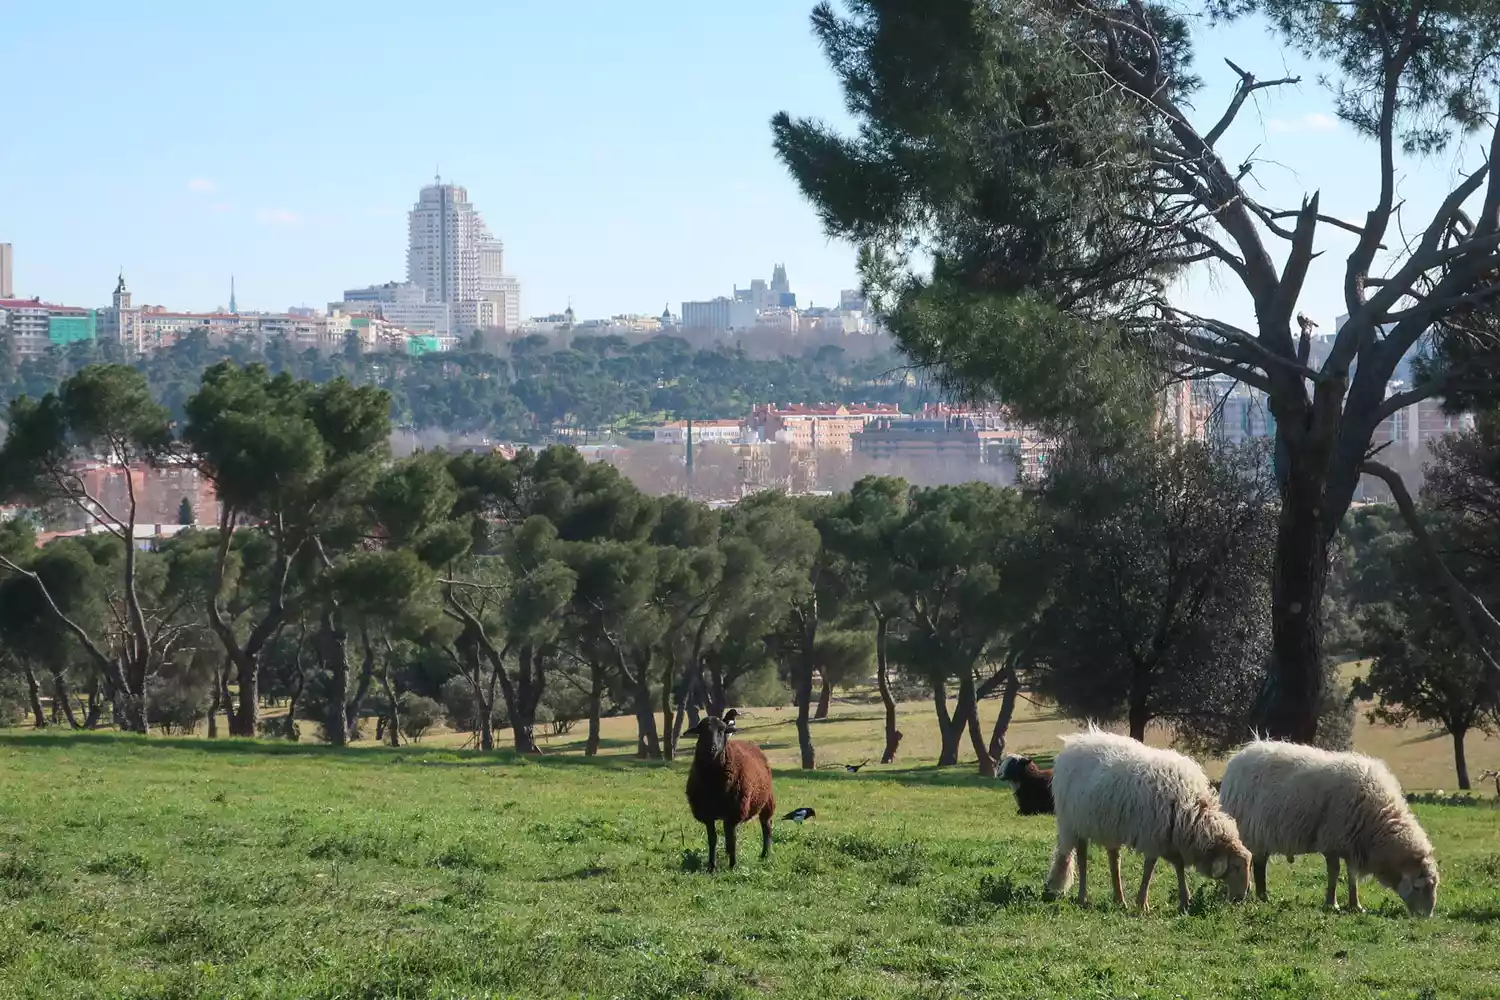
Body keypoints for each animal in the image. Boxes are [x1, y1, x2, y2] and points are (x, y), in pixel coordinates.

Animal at [681, 707, 774, 869]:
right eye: (701, 731)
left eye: (721, 731)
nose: (711, 748)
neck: (713, 782)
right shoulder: (708, 814)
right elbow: (713, 840)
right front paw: (712, 866)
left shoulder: (733, 813)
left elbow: (732, 840)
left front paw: (732, 866)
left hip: (766, 801)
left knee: (766, 827)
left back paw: (764, 855)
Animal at [1050, 728, 1248, 917]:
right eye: (1236, 867)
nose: (1241, 898)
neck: (1191, 811)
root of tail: (1074, 743)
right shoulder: (1153, 836)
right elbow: (1149, 871)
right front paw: (1143, 904)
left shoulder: (1169, 837)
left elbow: (1178, 866)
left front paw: (1185, 900)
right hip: (1074, 823)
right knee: (1081, 858)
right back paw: (1082, 897)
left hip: (1108, 826)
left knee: (1114, 859)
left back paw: (1119, 899)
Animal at [1218, 740, 1440, 917]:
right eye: (1418, 887)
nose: (1426, 917)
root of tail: (1238, 756)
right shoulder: (1332, 840)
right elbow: (1334, 873)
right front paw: (1332, 904)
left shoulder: (1351, 844)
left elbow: (1351, 876)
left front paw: (1355, 905)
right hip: (1253, 830)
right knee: (1257, 864)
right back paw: (1262, 896)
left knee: (1256, 861)